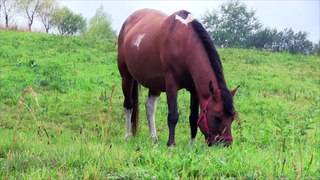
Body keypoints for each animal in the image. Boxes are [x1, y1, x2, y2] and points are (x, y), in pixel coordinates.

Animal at [117, 8, 238, 146]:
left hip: (154, 83)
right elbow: (173, 115)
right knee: (128, 106)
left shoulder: (194, 89)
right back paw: (128, 136)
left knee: (150, 107)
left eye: (232, 118)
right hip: (126, 77)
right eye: (217, 117)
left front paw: (192, 144)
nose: (226, 144)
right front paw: (171, 144)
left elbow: (193, 118)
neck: (184, 42)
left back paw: (153, 138)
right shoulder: (171, 84)